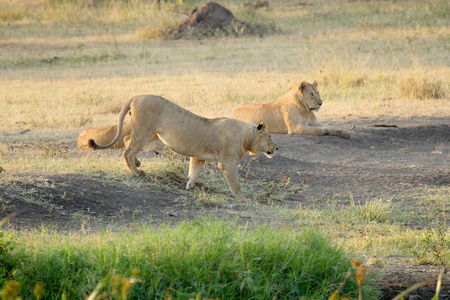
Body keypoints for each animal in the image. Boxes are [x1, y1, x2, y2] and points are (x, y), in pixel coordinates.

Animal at [87, 95, 278, 200]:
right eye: (270, 136)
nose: (276, 148)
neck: (247, 136)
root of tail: (136, 96)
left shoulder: (198, 157)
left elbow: (193, 173)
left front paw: (190, 188)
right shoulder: (227, 163)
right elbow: (235, 184)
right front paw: (243, 198)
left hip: (152, 133)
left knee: (127, 140)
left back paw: (138, 164)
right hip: (145, 130)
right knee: (128, 150)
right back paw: (136, 172)